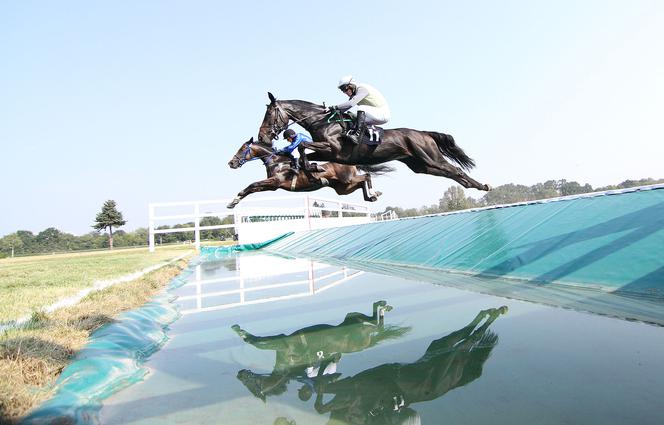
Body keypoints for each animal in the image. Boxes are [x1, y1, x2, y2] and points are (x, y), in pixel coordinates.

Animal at [228, 137, 394, 208]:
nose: (231, 163)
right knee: (361, 183)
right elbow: (252, 188)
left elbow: (252, 184)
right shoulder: (272, 186)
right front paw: (233, 201)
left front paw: (233, 201)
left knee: (366, 176)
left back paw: (373, 193)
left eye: (243, 149)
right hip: (343, 188)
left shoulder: (275, 182)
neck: (276, 162)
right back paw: (371, 197)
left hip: (347, 180)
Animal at [260, 93, 492, 192]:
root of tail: (422, 133)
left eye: (269, 114)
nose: (262, 136)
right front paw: (312, 170)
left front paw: (312, 171)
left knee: (455, 169)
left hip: (431, 157)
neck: (323, 122)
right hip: (420, 165)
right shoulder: (326, 153)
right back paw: (474, 186)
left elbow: (301, 146)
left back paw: (482, 186)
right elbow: (303, 154)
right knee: (450, 173)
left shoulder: (333, 149)